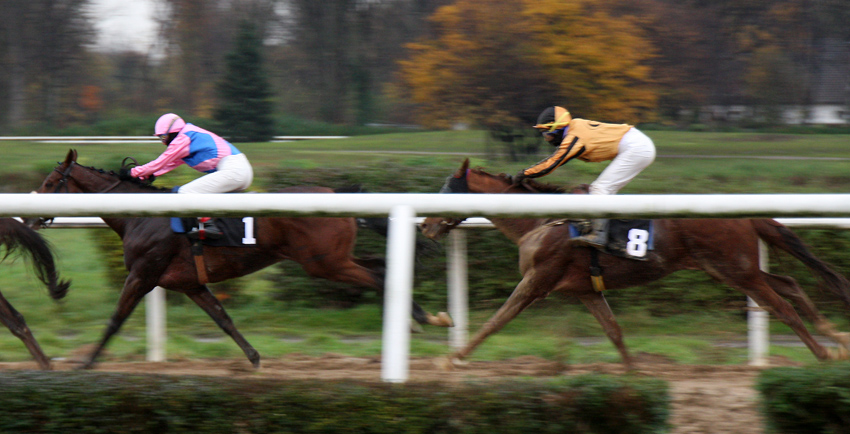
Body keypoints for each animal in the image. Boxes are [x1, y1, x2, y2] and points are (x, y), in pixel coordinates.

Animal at [26, 150, 450, 370]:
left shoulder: (143, 274)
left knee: (377, 276)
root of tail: (335, 192)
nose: (29, 218)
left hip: (322, 262)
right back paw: (420, 317)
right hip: (333, 256)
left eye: (49, 183)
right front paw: (254, 357)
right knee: (380, 266)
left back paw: (421, 319)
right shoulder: (189, 283)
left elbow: (115, 319)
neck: (142, 215)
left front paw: (86, 363)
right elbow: (223, 318)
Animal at [418, 159, 848, 370]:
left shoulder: (537, 280)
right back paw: (835, 338)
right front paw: (632, 372)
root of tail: (743, 213)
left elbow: (496, 321)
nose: (424, 224)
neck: (541, 220)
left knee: (781, 304)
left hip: (734, 268)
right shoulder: (584, 290)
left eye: (447, 189)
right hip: (733, 269)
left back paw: (824, 353)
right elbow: (614, 330)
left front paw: (450, 358)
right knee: (789, 282)